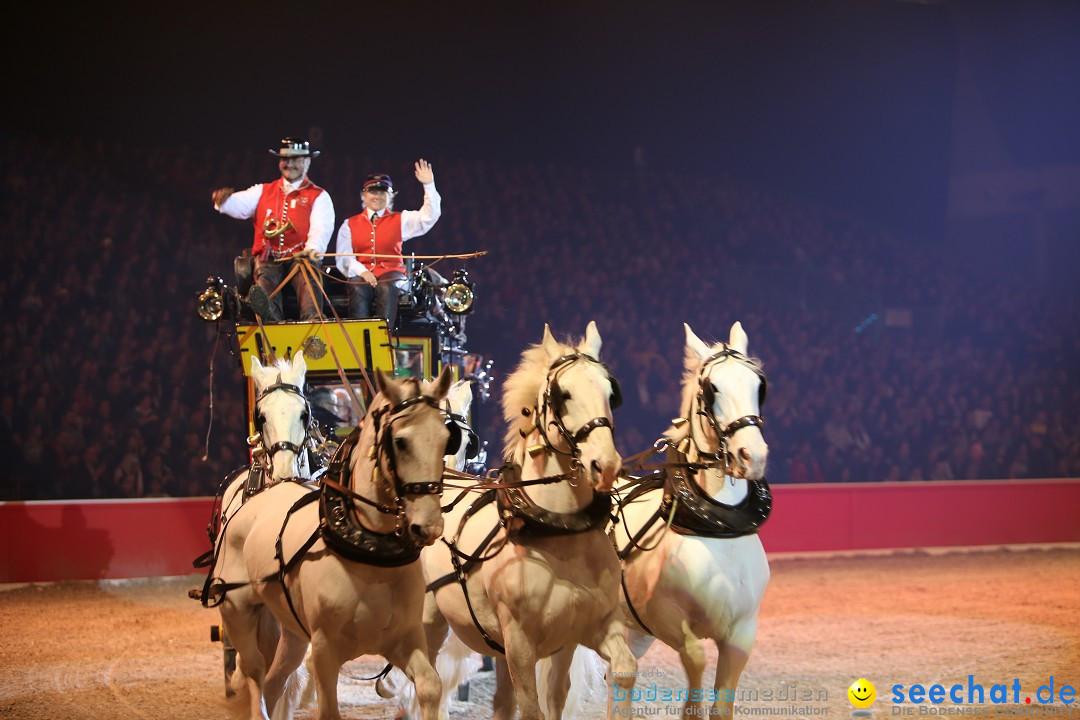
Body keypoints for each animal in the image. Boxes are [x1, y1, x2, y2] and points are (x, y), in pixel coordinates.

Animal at [217, 369, 453, 720]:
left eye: (445, 439)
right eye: (400, 441)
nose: (429, 525)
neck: (369, 551)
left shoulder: (406, 638)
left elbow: (429, 686)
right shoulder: (325, 651)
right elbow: (329, 710)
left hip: (291, 632)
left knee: (274, 682)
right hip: (237, 611)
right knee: (254, 672)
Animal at [419, 323, 639, 720]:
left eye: (611, 392)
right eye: (562, 394)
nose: (606, 465)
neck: (558, 531)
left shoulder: (584, 629)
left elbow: (610, 675)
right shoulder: (520, 644)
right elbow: (532, 708)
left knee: (500, 701)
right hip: (430, 620)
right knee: (426, 686)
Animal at [613, 321, 773, 720]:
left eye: (758, 384)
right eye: (711, 389)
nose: (752, 455)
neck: (718, 529)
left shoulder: (742, 634)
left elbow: (723, 705)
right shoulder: (665, 619)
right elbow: (697, 661)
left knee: (620, 675)